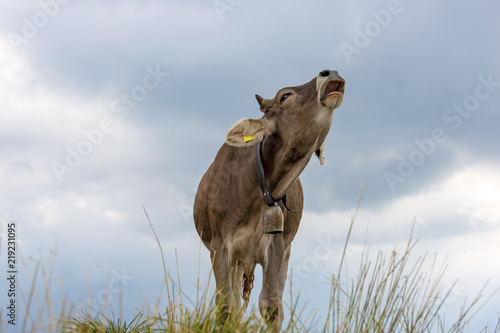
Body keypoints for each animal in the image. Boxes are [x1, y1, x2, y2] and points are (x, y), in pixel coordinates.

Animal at [193, 68, 346, 328]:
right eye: (285, 96)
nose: (330, 72)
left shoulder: (276, 245)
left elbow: (271, 306)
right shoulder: (219, 247)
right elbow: (225, 308)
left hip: (285, 252)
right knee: (235, 305)